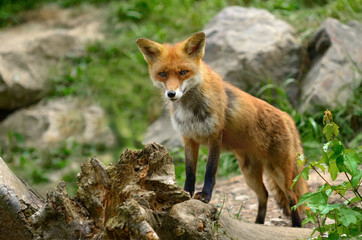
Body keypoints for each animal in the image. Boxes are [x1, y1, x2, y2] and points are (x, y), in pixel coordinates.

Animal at [136, 31, 308, 227]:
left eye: (183, 72)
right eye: (162, 74)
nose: (171, 94)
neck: (190, 111)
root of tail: (286, 116)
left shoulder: (214, 136)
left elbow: (210, 171)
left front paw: (205, 196)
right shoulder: (189, 138)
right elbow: (190, 172)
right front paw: (186, 194)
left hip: (279, 172)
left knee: (292, 196)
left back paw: (296, 225)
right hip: (250, 175)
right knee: (264, 194)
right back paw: (258, 223)